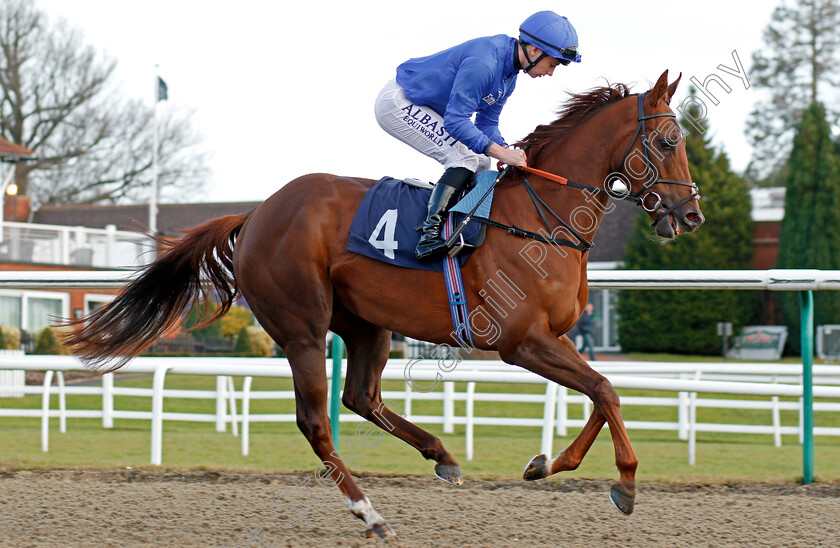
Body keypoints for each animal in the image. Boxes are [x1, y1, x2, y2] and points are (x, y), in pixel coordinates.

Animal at [67, 70, 704, 536]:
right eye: (668, 141)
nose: (691, 215)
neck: (540, 219)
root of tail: (257, 212)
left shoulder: (560, 336)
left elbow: (601, 392)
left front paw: (547, 465)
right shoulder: (520, 342)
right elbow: (606, 390)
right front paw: (625, 483)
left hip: (366, 324)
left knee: (361, 397)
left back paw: (441, 455)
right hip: (302, 327)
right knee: (316, 420)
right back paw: (369, 512)